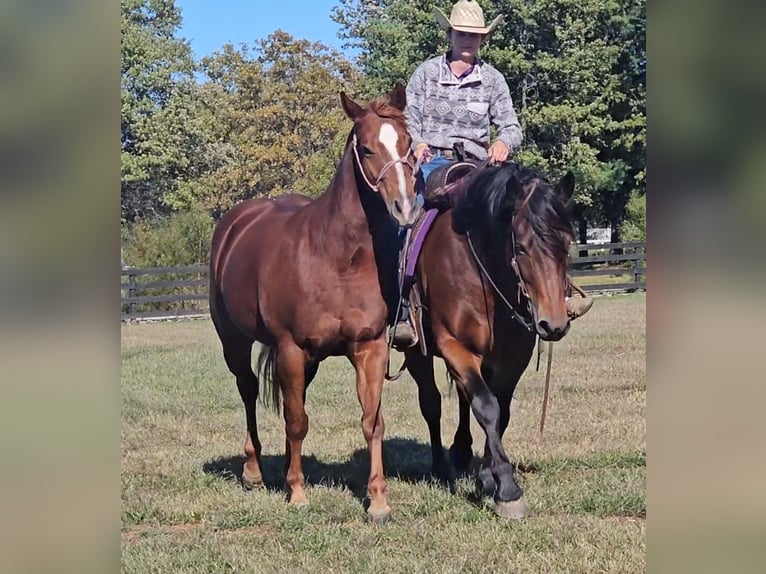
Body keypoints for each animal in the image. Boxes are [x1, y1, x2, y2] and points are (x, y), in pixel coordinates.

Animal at [208, 84, 420, 523]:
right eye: (367, 148)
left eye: (408, 143)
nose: (405, 208)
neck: (338, 257)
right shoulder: (291, 348)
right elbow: (296, 422)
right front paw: (298, 493)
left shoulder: (369, 348)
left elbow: (371, 421)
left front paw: (378, 501)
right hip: (234, 341)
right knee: (249, 391)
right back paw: (253, 471)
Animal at [403, 162, 576, 519]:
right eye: (521, 247)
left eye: (567, 244)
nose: (553, 324)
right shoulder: (455, 346)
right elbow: (486, 406)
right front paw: (508, 490)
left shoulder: (513, 357)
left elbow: (500, 410)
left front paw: (487, 477)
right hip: (417, 354)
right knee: (432, 403)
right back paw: (441, 467)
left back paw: (461, 451)